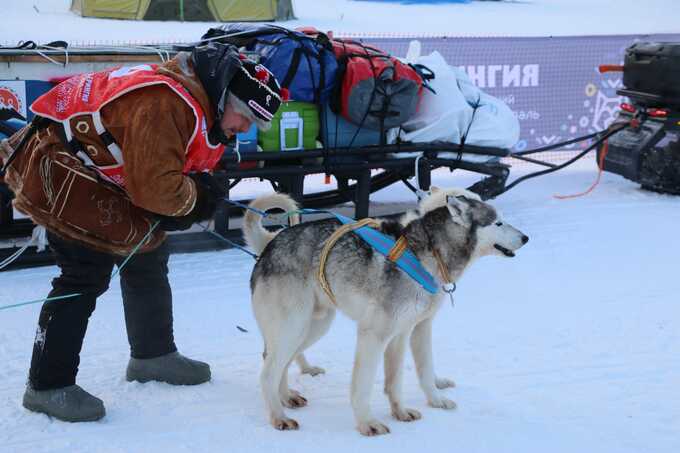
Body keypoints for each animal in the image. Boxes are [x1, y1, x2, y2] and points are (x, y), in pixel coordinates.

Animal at [244, 187, 532, 434]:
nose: (526, 237)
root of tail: (270, 245)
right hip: (294, 327)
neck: (428, 253)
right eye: (498, 223)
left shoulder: (404, 333)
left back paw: (286, 397)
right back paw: (278, 416)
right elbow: (362, 387)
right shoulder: (373, 335)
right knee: (268, 372)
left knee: (276, 362)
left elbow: (400, 380)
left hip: (311, 328)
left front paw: (404, 411)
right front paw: (367, 424)